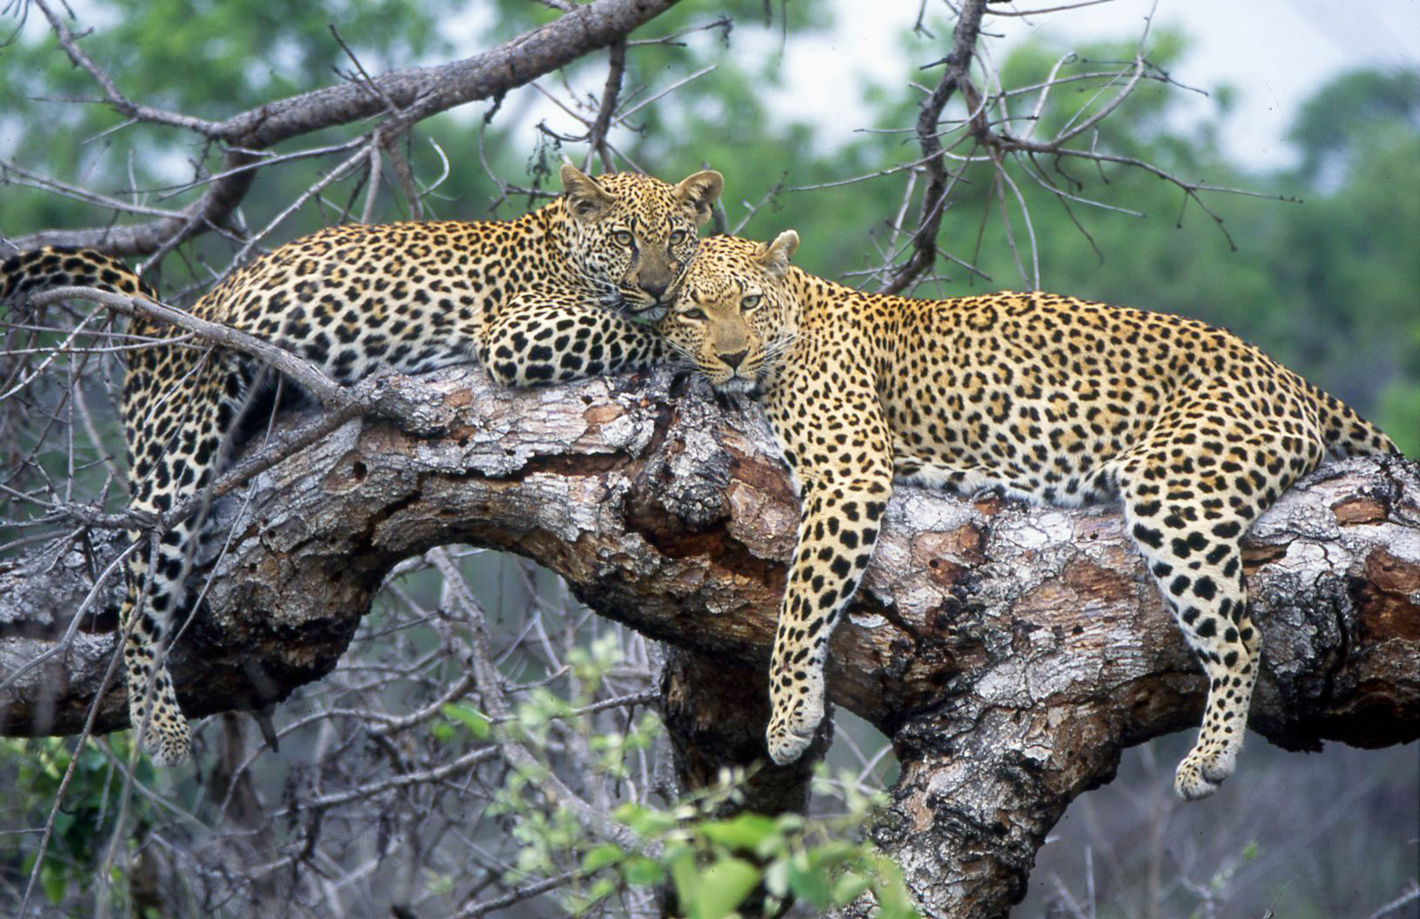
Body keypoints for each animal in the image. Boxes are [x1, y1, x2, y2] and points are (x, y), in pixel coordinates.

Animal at [2, 166, 721, 767]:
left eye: (677, 240)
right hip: (177, 441)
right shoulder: (521, 331)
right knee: (137, 595)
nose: (657, 285)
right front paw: (709, 336)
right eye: (625, 239)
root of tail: (167, 319)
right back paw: (162, 729)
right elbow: (640, 328)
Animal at [650, 228, 1397, 795]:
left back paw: (1209, 756)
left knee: (1241, 635)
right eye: (694, 314)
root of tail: (1279, 369)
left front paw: (788, 718)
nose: (732, 356)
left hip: (1173, 487)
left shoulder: (849, 473)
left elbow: (799, 604)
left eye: (748, 301)